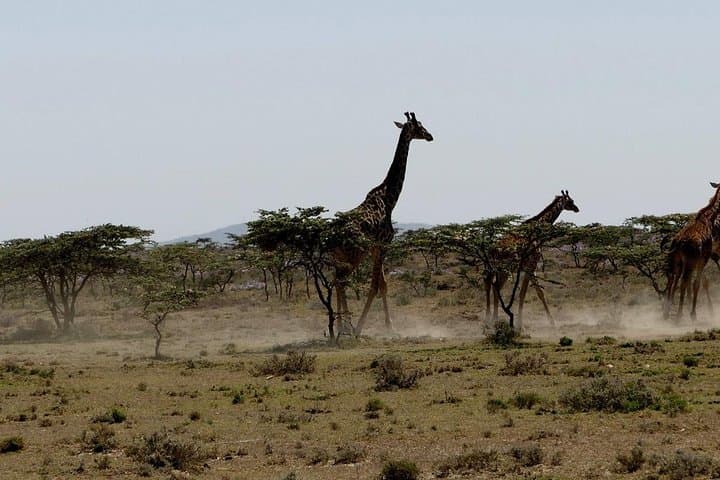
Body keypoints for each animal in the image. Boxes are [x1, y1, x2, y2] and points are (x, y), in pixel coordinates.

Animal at [332, 112, 433, 338]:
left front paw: (390, 326)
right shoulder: (383, 244)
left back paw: (340, 326)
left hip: (342, 257)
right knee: (342, 281)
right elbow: (375, 286)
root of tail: (331, 236)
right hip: (354, 255)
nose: (431, 136)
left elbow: (384, 285)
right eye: (420, 127)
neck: (390, 198)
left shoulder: (376, 249)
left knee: (336, 281)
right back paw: (347, 326)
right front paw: (361, 327)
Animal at [485, 190, 579, 330]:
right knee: (494, 286)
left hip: (500, 269)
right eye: (571, 201)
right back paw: (493, 321)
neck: (538, 231)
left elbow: (540, 293)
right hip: (504, 268)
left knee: (493, 286)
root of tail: (492, 250)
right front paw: (520, 325)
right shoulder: (531, 264)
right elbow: (523, 293)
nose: (577, 208)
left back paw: (492, 321)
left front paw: (552, 322)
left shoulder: (530, 267)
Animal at [664, 182, 720, 321]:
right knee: (683, 281)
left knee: (673, 279)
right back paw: (680, 315)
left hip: (676, 261)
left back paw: (667, 312)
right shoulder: (704, 258)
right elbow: (698, 283)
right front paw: (694, 313)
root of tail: (678, 242)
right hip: (689, 261)